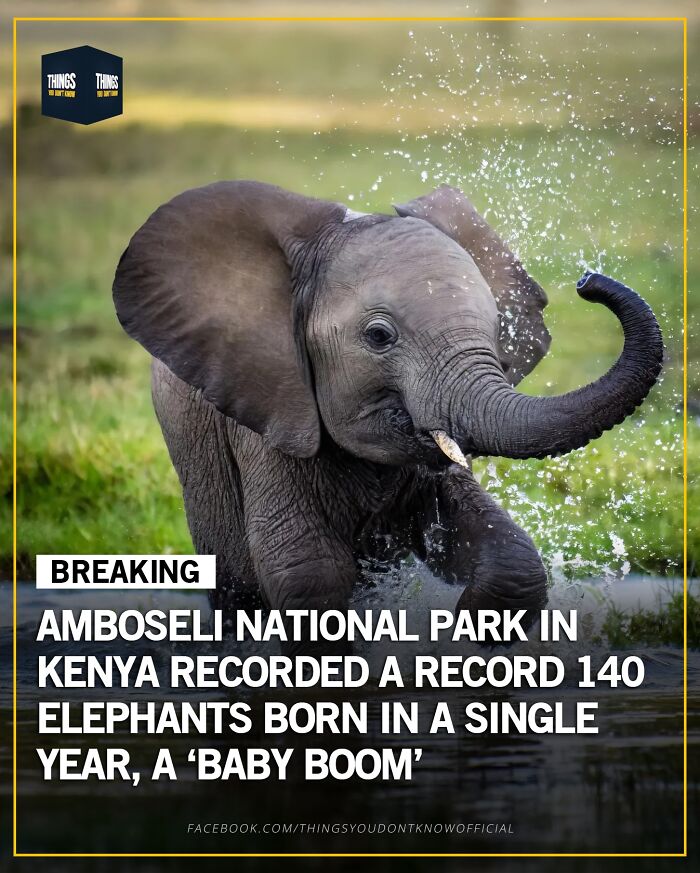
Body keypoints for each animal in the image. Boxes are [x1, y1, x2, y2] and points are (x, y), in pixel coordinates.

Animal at [112, 180, 663, 649]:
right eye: (380, 337)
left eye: (496, 328)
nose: (587, 281)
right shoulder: (268, 408)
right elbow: (308, 571)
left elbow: (499, 548)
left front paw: (466, 639)